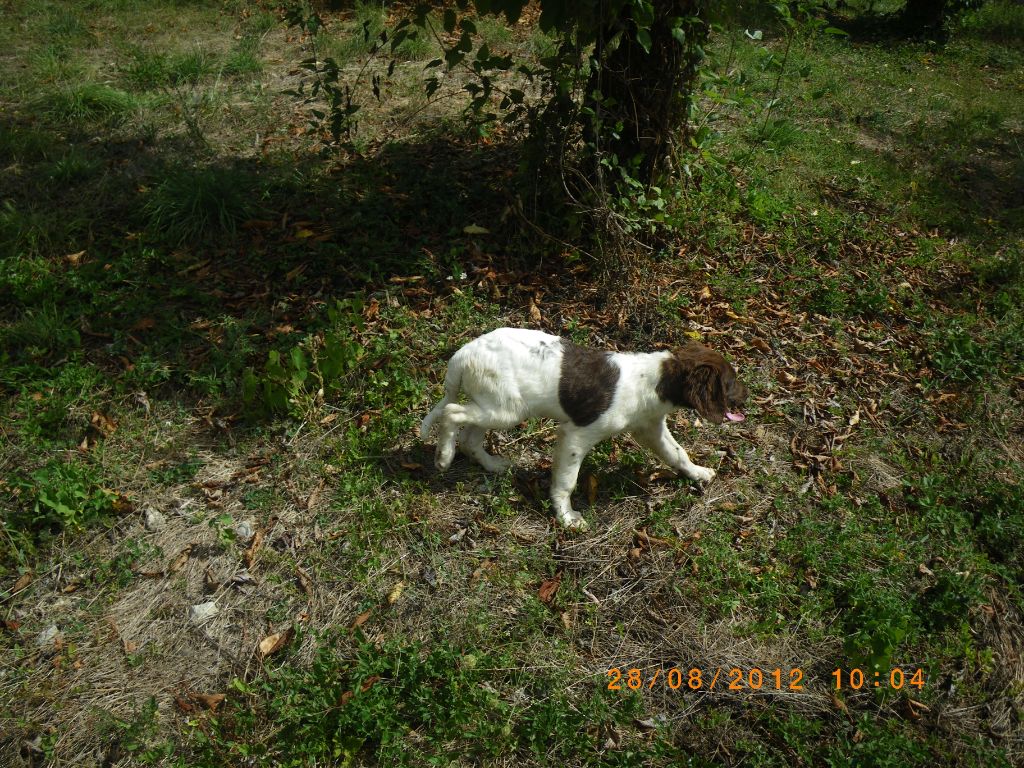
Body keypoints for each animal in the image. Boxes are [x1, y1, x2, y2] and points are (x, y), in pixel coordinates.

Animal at [419, 327, 749, 532]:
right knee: (451, 412)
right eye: (731, 382)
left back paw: (493, 464)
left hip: (497, 406)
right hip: (505, 409)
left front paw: (699, 473)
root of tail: (462, 354)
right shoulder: (577, 435)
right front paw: (567, 517)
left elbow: (677, 453)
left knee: (469, 436)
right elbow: (567, 480)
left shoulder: (650, 428)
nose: (747, 398)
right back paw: (443, 456)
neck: (656, 379)